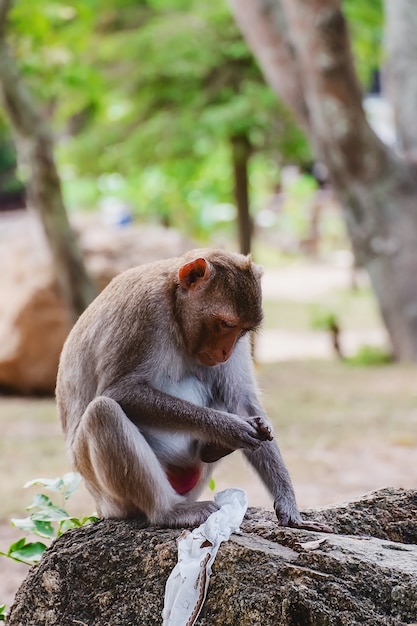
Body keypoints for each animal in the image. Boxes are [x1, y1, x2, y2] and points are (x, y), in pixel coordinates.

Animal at [55, 246, 330, 528]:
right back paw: (168, 511)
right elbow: (120, 392)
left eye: (243, 330)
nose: (226, 351)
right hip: (109, 496)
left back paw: (213, 449)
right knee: (103, 412)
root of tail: (100, 508)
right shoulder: (145, 311)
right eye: (227, 324)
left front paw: (288, 502)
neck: (175, 307)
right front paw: (231, 429)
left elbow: (240, 399)